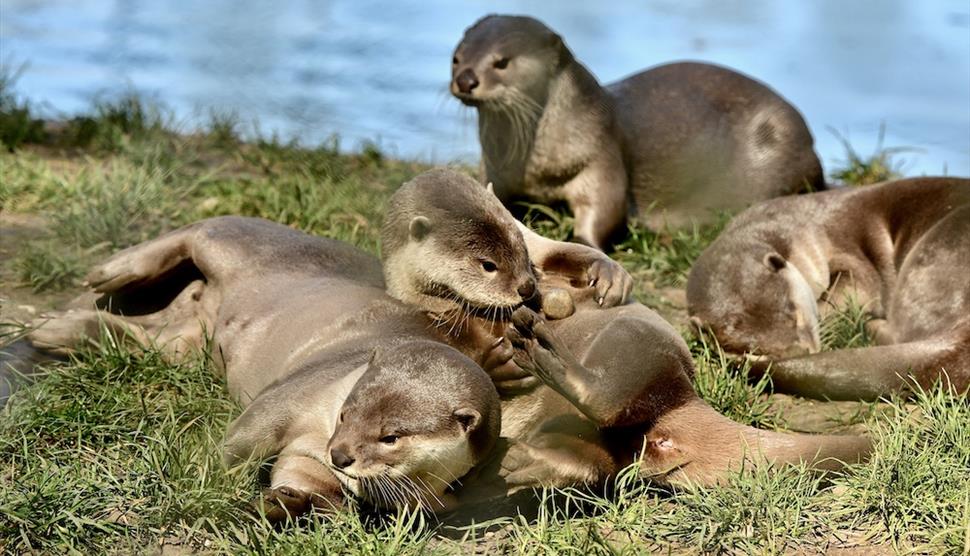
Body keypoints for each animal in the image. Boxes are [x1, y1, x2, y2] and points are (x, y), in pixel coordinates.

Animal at [451, 14, 824, 249]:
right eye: (457, 57)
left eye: (502, 62)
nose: (466, 79)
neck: (537, 168)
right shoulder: (494, 169)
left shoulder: (601, 152)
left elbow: (606, 208)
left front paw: (583, 241)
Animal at [687, 177, 970, 401]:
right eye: (752, 347)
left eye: (794, 314)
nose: (801, 352)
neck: (806, 228)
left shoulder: (843, 245)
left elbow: (858, 285)